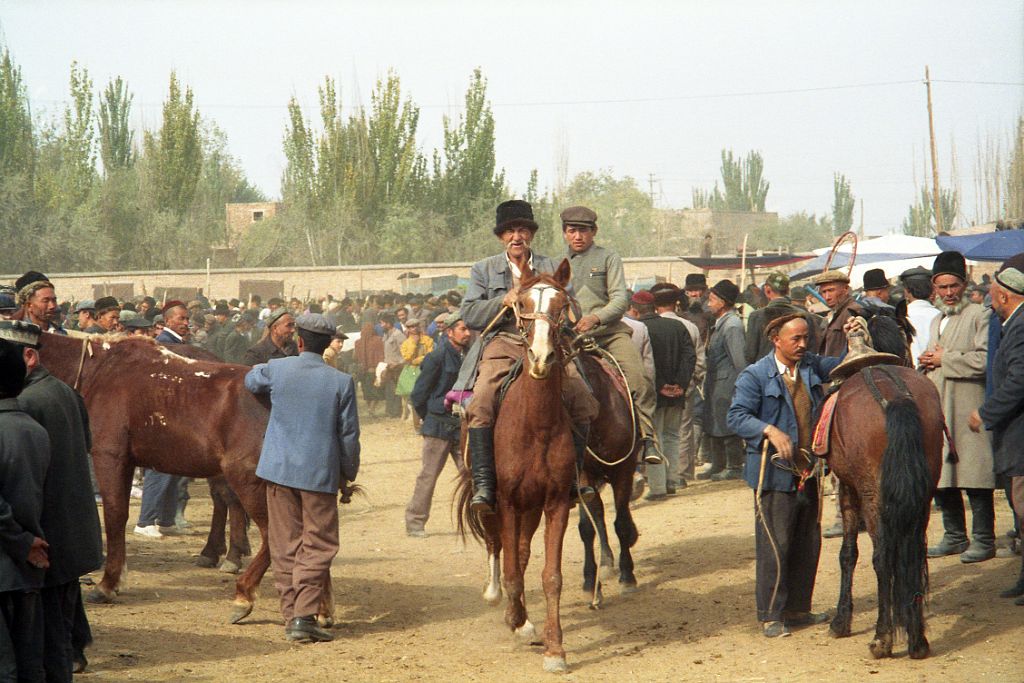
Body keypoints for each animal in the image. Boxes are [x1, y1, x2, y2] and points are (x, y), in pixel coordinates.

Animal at [460, 262, 581, 671]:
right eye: (523, 304)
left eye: (562, 305)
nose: (542, 356)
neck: (536, 425)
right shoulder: (508, 502)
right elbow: (512, 570)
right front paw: (517, 620)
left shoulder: (556, 503)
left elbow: (550, 576)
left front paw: (555, 648)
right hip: (495, 501)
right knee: (498, 546)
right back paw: (501, 601)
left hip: (532, 507)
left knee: (523, 552)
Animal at [823, 317, 942, 659]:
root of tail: (896, 397)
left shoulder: (848, 488)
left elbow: (848, 553)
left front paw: (841, 620)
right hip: (923, 491)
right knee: (914, 551)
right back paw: (917, 639)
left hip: (873, 495)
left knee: (883, 556)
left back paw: (882, 637)